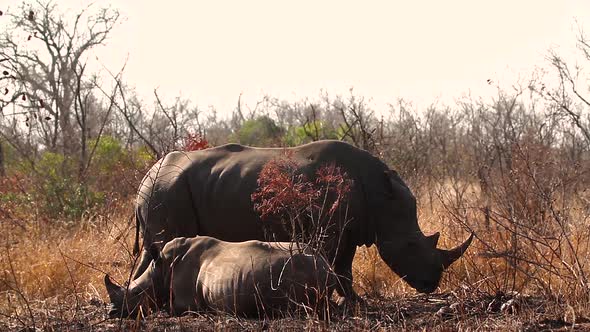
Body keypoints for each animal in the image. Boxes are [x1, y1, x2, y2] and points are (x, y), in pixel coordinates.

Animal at [106, 237, 338, 318]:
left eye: (136, 292)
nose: (112, 312)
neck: (161, 267)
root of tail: (326, 264)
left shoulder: (185, 302)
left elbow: (170, 307)